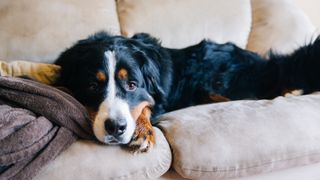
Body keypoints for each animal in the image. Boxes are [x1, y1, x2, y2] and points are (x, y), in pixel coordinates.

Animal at [54, 32, 320, 152]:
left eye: (132, 85)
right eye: (92, 86)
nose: (115, 128)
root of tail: (265, 64)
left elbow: (144, 106)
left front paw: (143, 131)